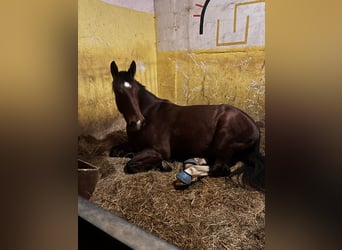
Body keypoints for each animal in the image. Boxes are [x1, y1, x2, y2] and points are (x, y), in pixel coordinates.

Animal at [109, 61, 264, 190]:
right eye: (118, 91)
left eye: (135, 90)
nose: (137, 122)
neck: (149, 114)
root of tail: (255, 128)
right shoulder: (133, 145)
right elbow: (114, 151)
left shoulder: (159, 150)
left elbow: (130, 165)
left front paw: (163, 165)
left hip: (223, 139)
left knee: (218, 168)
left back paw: (187, 175)